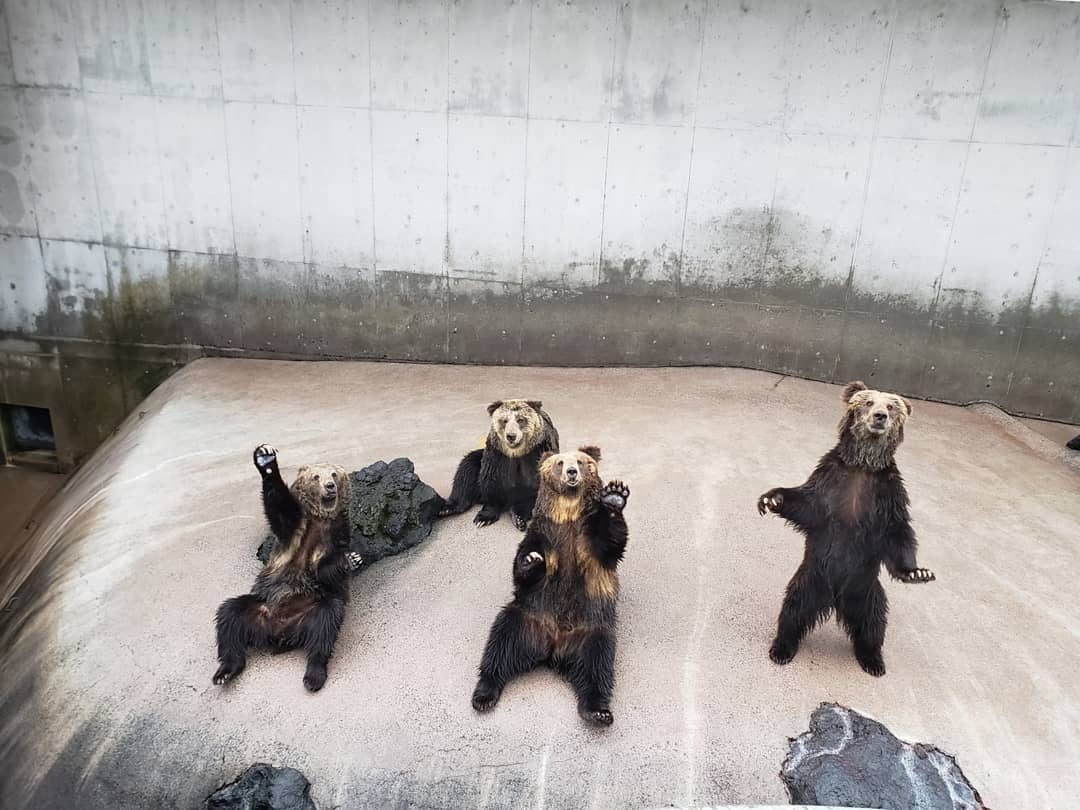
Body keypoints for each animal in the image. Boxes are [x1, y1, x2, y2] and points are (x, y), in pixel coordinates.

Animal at [212, 447, 360, 695]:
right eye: (316, 477)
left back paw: (313, 676)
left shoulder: (336, 533)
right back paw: (224, 672)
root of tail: (278, 633)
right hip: (259, 606)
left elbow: (327, 571)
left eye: (333, 474)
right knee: (229, 617)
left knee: (325, 625)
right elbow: (278, 506)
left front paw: (351, 559)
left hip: (312, 609)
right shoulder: (293, 529)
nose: (330, 486)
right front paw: (266, 459)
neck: (320, 519)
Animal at [436, 401, 561, 533]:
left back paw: (518, 517)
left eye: (521, 420)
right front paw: (484, 517)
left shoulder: (540, 450)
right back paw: (447, 508)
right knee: (466, 470)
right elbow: (492, 476)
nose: (511, 436)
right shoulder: (497, 452)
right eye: (504, 421)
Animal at [468, 447, 630, 725]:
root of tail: (553, 647)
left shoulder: (588, 542)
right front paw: (531, 561)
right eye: (560, 462)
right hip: (527, 617)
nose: (572, 472)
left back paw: (597, 709)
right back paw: (484, 693)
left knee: (597, 664)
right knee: (500, 642)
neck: (568, 515)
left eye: (581, 461)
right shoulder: (542, 532)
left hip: (592, 629)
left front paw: (615, 497)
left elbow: (610, 543)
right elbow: (521, 568)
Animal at [756, 380, 933, 678]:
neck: (863, 466)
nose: (880, 416)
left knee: (874, 625)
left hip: (867, 591)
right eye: (868, 402)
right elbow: (807, 505)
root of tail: (836, 600)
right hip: (810, 580)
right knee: (792, 612)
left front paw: (918, 572)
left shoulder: (888, 496)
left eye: (891, 406)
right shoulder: (830, 481)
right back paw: (781, 649)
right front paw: (771, 498)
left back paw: (873, 661)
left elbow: (898, 534)